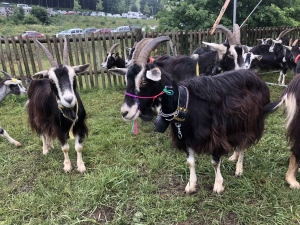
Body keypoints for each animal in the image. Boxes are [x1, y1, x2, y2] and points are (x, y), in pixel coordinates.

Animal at [26, 39, 89, 173]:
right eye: (51, 80)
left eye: (74, 76)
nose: (69, 100)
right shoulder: (59, 127)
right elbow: (65, 148)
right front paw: (67, 166)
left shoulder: (79, 125)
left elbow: (78, 147)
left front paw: (81, 166)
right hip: (37, 115)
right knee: (43, 132)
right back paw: (45, 149)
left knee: (47, 131)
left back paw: (50, 145)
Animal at [120, 36, 272, 193]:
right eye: (127, 79)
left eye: (143, 81)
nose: (125, 112)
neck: (186, 102)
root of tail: (255, 76)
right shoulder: (186, 136)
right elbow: (190, 162)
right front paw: (191, 185)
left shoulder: (215, 135)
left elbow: (215, 161)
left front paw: (218, 185)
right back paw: (234, 156)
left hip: (250, 120)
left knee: (243, 143)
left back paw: (239, 169)